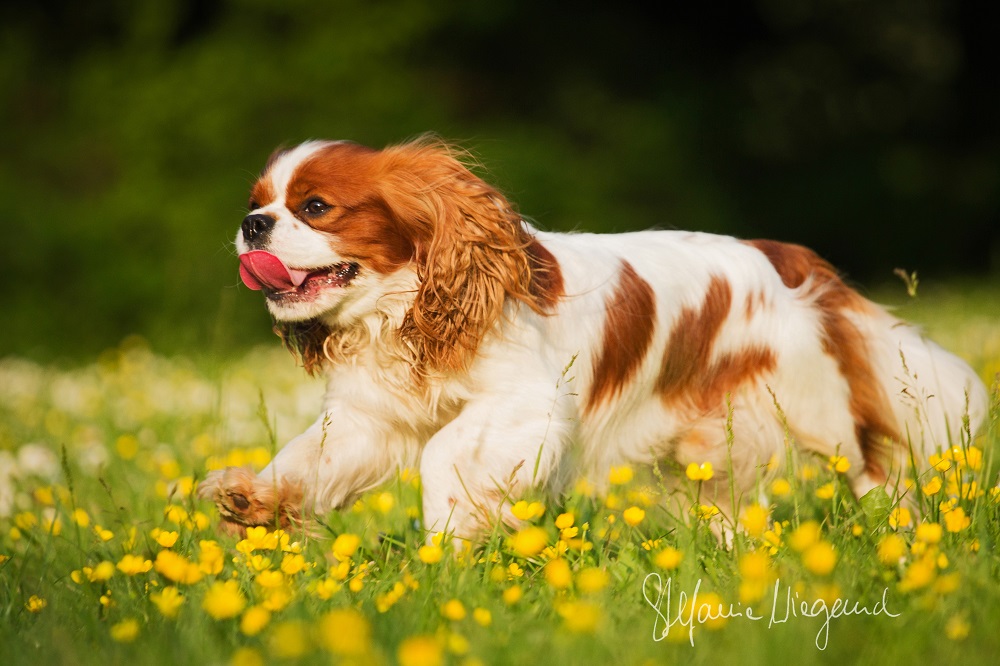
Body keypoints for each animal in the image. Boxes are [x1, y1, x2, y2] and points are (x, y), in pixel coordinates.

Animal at [199, 135, 988, 540]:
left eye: (315, 207)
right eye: (257, 203)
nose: (252, 226)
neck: (406, 310)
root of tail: (788, 256)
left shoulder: (525, 405)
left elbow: (445, 454)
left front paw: (450, 540)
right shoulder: (369, 417)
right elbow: (309, 457)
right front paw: (253, 498)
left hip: (818, 410)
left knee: (875, 466)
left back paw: (904, 540)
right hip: (711, 447)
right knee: (729, 506)